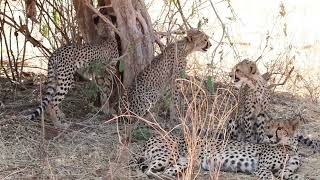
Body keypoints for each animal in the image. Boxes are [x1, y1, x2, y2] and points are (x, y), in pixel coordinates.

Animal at [131, 116, 304, 179]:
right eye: (268, 127)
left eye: (280, 128)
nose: (268, 135)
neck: (290, 148)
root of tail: (153, 136)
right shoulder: (262, 169)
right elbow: (270, 177)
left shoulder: (285, 171)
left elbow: (294, 176)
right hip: (167, 155)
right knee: (148, 171)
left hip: (183, 161)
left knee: (165, 171)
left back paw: (171, 177)